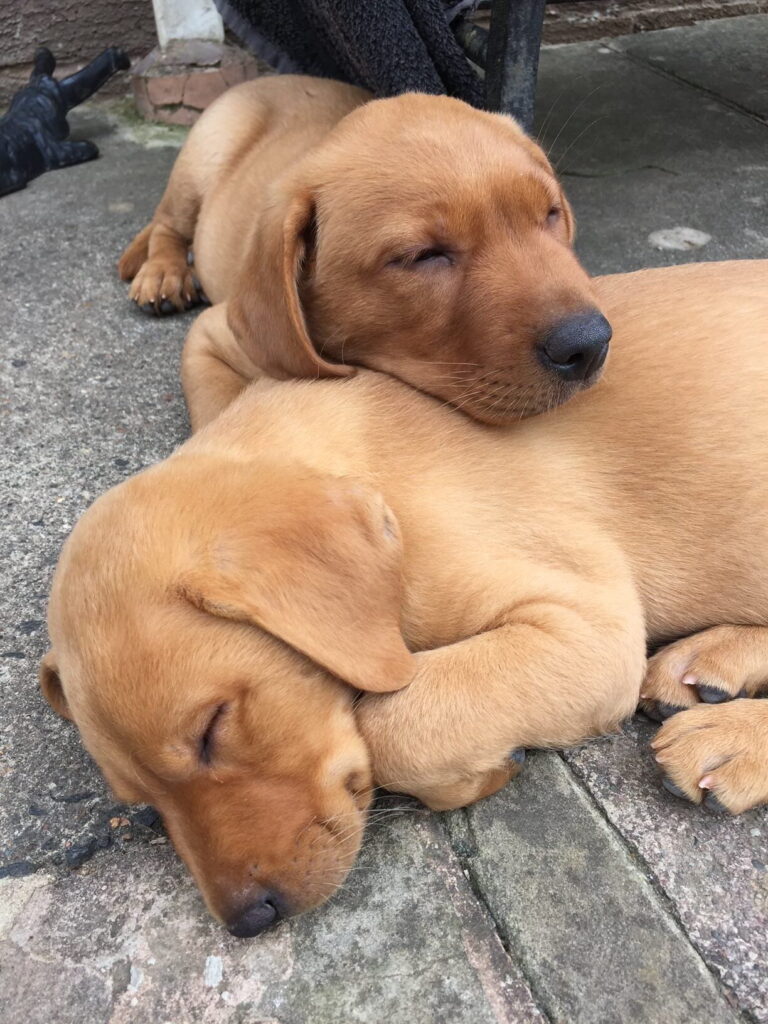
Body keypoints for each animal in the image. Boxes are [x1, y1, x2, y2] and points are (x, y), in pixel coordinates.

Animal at [40, 258, 768, 937]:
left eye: (212, 729)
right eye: (142, 802)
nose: (249, 920)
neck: (363, 460)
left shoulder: (588, 626)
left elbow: (387, 725)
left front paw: (476, 770)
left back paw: (730, 739)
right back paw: (709, 663)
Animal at [118, 74, 614, 421]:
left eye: (551, 214)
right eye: (423, 256)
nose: (590, 345)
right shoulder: (211, 335)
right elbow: (223, 416)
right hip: (204, 152)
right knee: (166, 223)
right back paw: (162, 273)